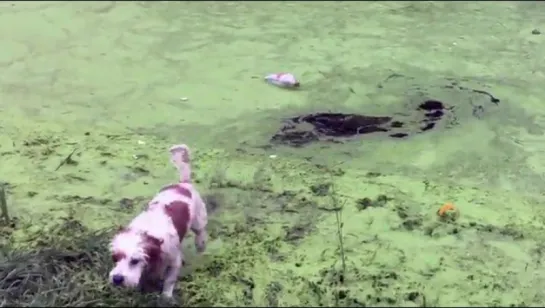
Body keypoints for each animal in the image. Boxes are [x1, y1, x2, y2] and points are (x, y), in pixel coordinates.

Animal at [108, 144, 208, 298]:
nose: (117, 279)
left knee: (200, 232)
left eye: (135, 261)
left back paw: (200, 244)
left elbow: (169, 281)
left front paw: (166, 297)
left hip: (198, 221)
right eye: (115, 258)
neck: (149, 233)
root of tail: (183, 184)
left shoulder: (174, 262)